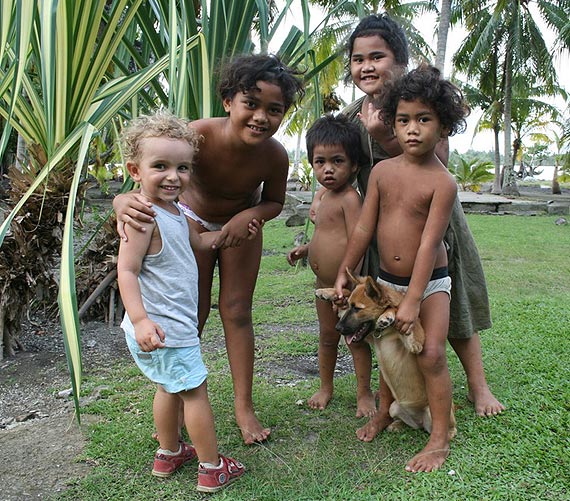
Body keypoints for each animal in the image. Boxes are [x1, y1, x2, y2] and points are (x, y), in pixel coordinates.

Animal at [312, 270, 454, 438]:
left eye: (357, 309)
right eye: (350, 306)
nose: (338, 328)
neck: (385, 333)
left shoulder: (416, 343)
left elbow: (399, 311)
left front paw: (388, 315)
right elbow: (346, 291)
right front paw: (327, 292)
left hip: (435, 414)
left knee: (445, 428)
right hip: (394, 407)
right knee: (414, 425)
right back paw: (397, 425)